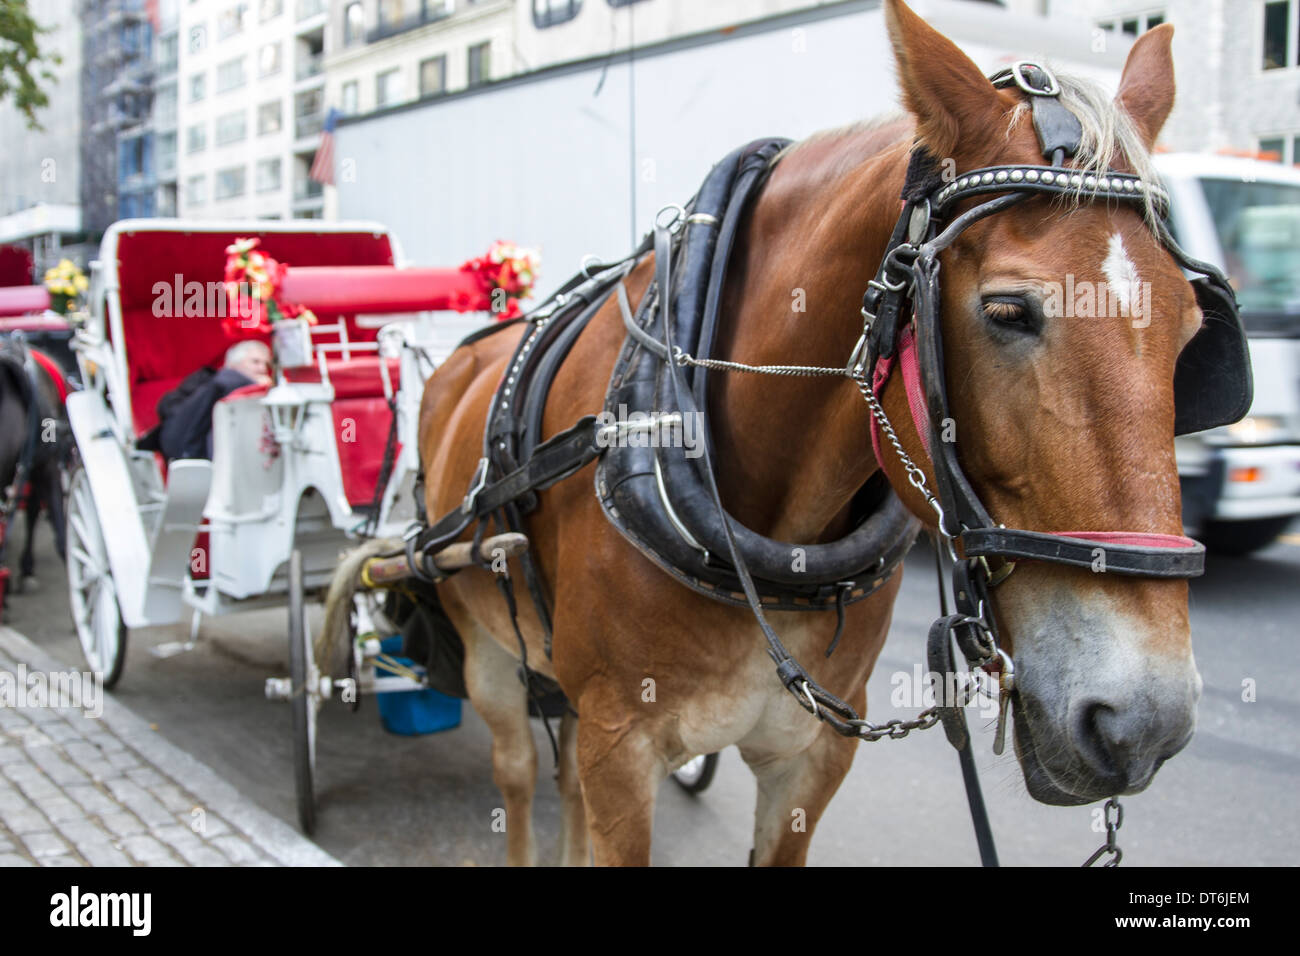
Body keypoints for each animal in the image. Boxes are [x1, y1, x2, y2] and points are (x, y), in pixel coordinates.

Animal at [325, 0, 1215, 865]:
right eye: (1006, 311)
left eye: (1194, 325)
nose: (1144, 719)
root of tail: (462, 360)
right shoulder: (623, 747)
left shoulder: (810, 757)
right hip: (489, 652)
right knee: (515, 779)